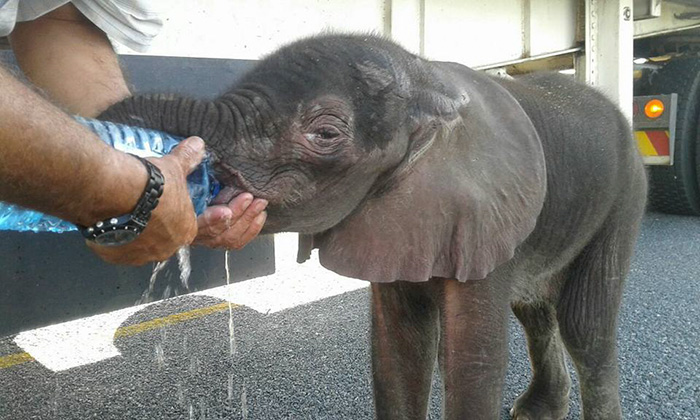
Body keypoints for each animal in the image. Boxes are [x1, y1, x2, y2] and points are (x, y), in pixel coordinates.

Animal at [100, 34, 647, 420]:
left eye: (325, 133)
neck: (426, 80)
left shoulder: (485, 206)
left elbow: (472, 359)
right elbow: (399, 352)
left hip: (625, 196)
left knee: (584, 325)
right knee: (536, 311)